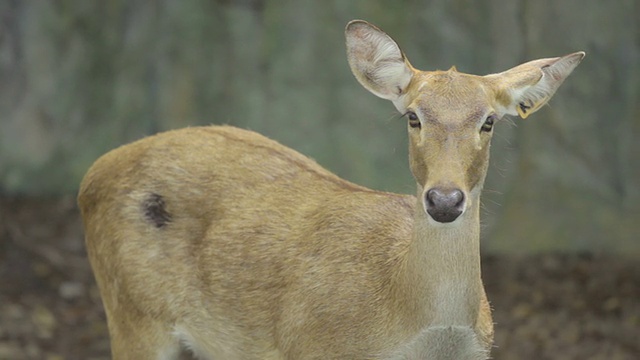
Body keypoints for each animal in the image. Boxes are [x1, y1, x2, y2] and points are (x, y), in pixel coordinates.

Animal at [79, 20, 584, 360]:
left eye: (489, 121)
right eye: (413, 116)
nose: (444, 200)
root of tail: (91, 175)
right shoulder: (311, 347)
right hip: (133, 315)